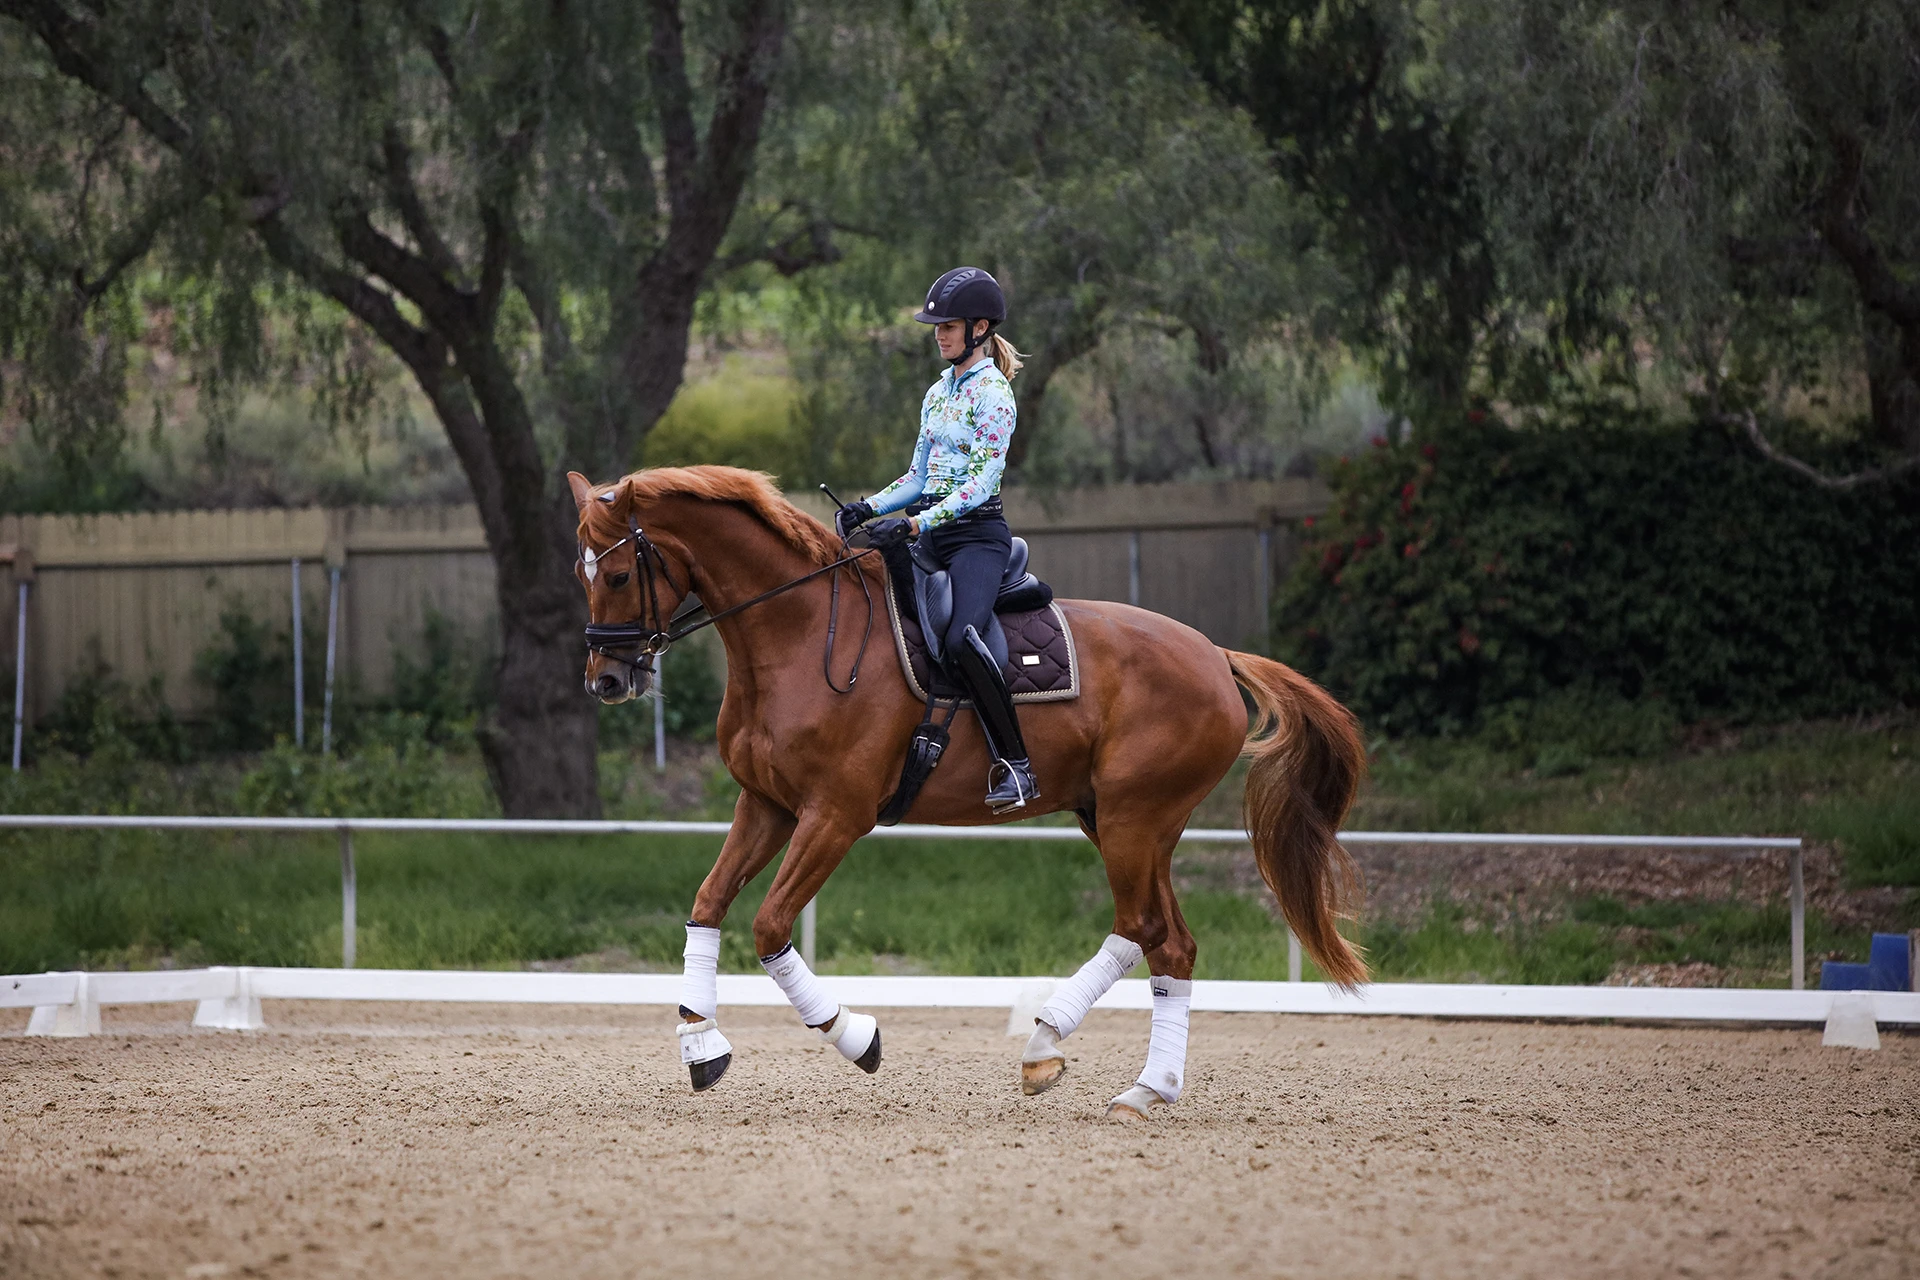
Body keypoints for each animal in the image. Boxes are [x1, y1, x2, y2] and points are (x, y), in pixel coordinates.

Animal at [568, 465, 1366, 1118]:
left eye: (617, 576)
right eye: (582, 575)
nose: (606, 682)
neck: (798, 634)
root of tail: (1214, 655)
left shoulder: (835, 815)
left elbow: (767, 925)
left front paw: (856, 1035)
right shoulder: (765, 806)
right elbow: (708, 905)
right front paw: (702, 1044)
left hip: (1137, 817)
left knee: (1144, 928)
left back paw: (1054, 1046)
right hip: (1120, 821)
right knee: (1167, 941)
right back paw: (1142, 1086)